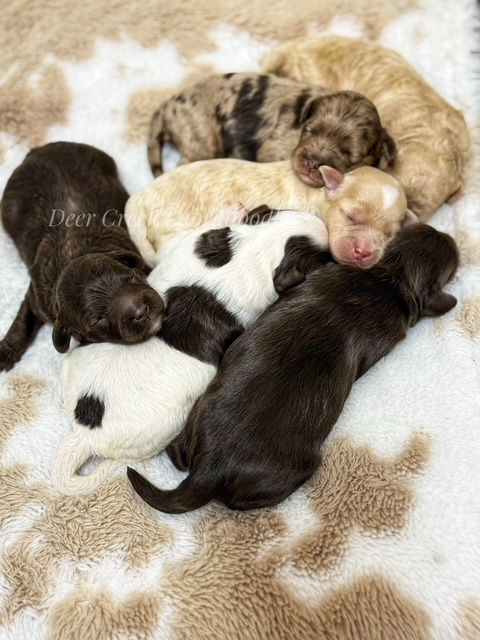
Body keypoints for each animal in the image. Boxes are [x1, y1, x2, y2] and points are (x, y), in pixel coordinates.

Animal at [0, 142, 165, 371]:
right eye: (98, 320)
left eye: (131, 277)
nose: (141, 310)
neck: (75, 254)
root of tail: (39, 149)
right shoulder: (36, 296)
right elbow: (22, 321)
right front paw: (5, 352)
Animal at [51, 209, 330, 494]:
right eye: (322, 257)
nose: (323, 226)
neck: (259, 243)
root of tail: (82, 435)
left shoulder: (190, 241)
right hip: (165, 426)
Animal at [125, 159, 416, 269]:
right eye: (349, 216)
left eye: (388, 235)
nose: (363, 251)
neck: (318, 195)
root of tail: (141, 197)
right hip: (174, 223)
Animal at [127, 223, 459, 513]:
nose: (445, 234)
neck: (390, 275)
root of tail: (209, 467)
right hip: (293, 472)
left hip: (199, 410)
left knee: (178, 454)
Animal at [147, 72, 396, 186]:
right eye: (310, 130)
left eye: (348, 153)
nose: (311, 163)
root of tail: (167, 106)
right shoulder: (274, 149)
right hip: (201, 138)